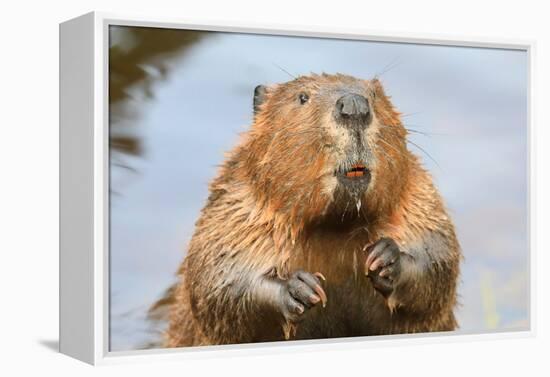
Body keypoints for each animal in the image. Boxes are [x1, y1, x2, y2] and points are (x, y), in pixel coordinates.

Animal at [162, 72, 464, 346]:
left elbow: (439, 253)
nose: (354, 105)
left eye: (374, 95)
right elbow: (217, 280)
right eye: (302, 97)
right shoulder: (236, 206)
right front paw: (300, 288)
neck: (335, 227)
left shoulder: (418, 197)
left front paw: (385, 259)